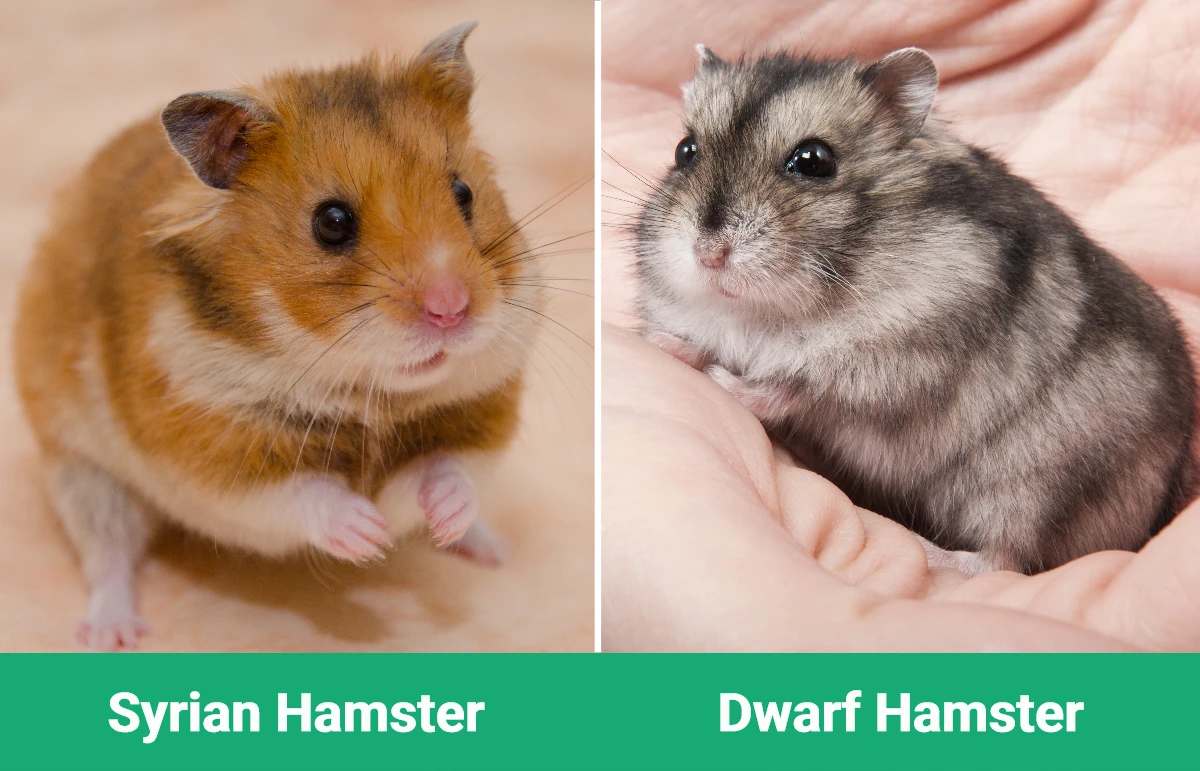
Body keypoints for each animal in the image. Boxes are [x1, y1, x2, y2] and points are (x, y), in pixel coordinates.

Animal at [14, 22, 545, 650]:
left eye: (464, 194)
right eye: (332, 222)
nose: (451, 310)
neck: (369, 394)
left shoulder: (479, 414)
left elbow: (445, 469)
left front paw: (433, 517)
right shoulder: (211, 450)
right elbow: (304, 493)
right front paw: (368, 534)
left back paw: (490, 549)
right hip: (82, 472)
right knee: (108, 555)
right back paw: (111, 634)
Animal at [633, 45, 1197, 576]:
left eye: (814, 160)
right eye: (685, 151)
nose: (708, 255)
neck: (765, 312)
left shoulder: (897, 364)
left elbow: (789, 389)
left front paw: (720, 377)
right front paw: (662, 342)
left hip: (1039, 485)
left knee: (1003, 557)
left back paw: (934, 553)